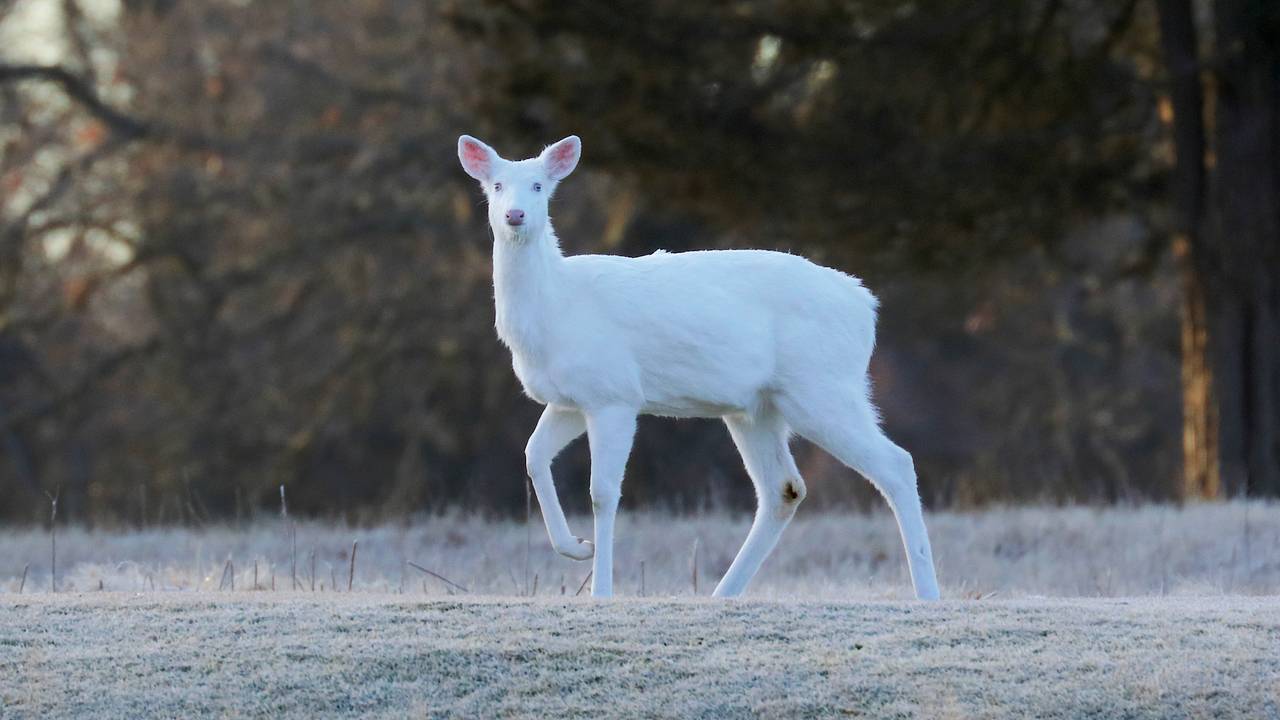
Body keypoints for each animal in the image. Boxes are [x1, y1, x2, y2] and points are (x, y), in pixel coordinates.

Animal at [458, 131, 942, 597]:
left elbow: (603, 493)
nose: (515, 214)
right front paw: (576, 546)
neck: (555, 308)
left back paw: (927, 592)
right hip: (759, 408)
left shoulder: (615, 392)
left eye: (539, 185)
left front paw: (601, 590)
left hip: (821, 387)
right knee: (784, 489)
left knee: (896, 464)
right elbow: (533, 455)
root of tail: (866, 306)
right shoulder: (570, 400)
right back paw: (722, 593)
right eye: (496, 186)